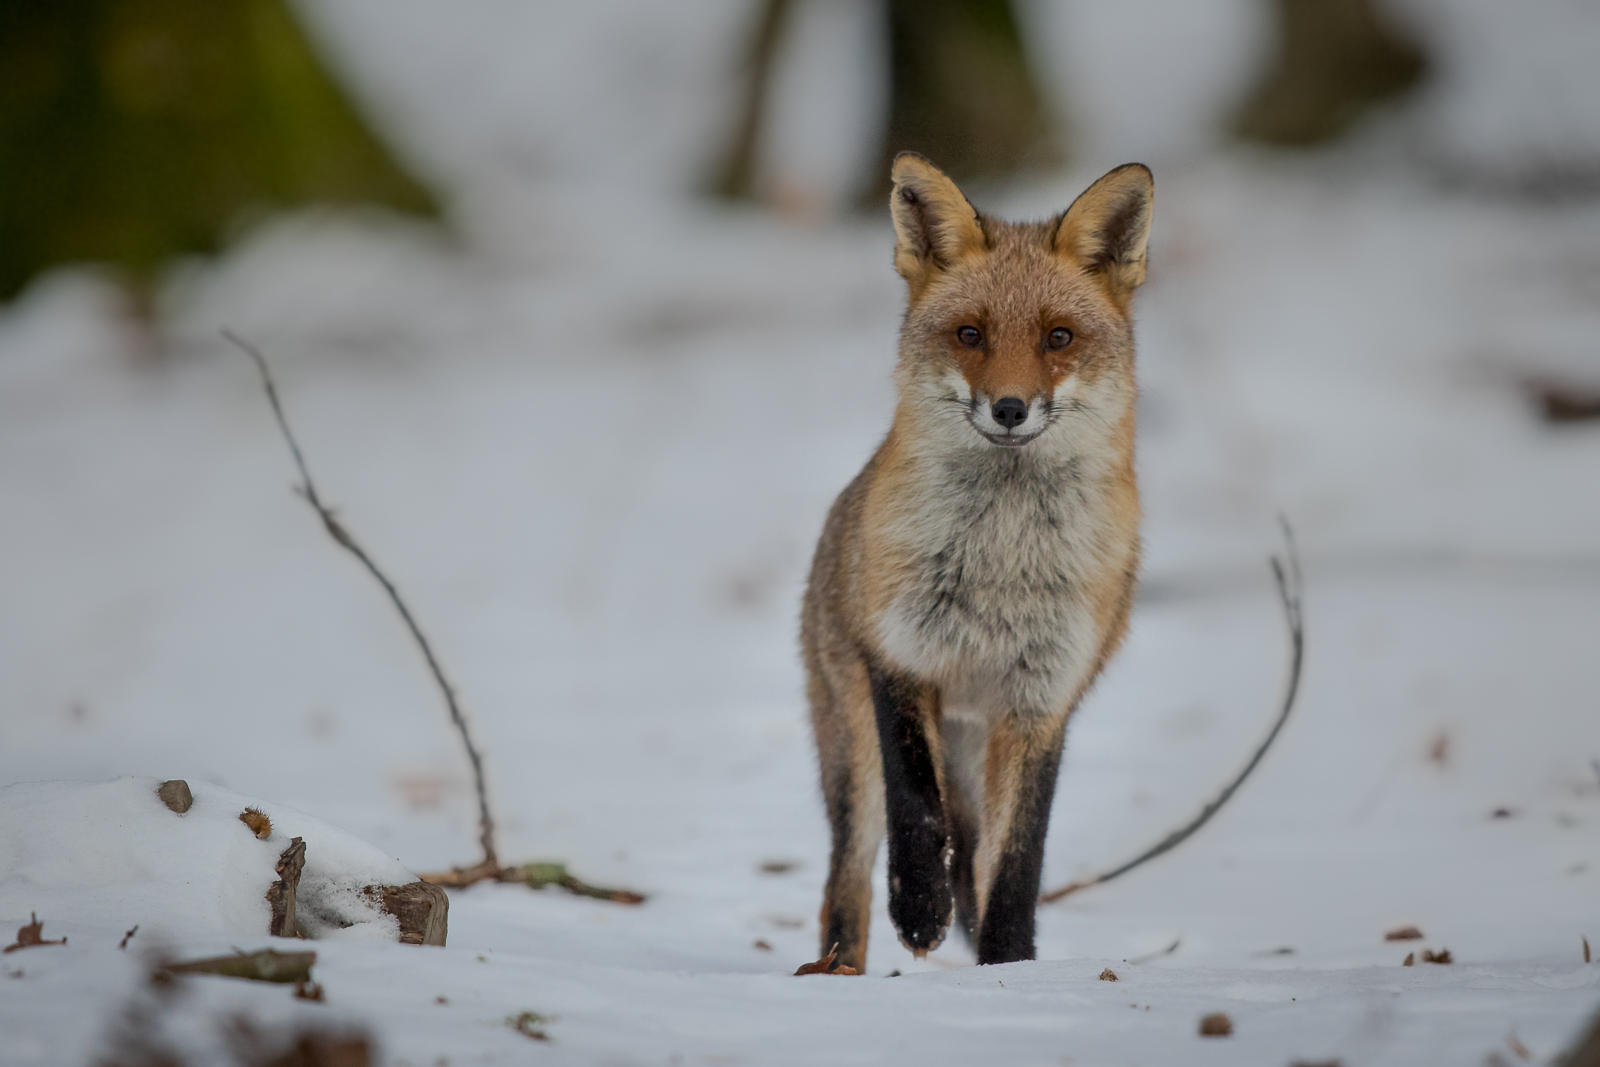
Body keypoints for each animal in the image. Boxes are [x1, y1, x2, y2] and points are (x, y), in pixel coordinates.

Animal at [800, 154, 1152, 972]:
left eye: (1058, 336)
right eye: (970, 334)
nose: (1011, 408)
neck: (1002, 561)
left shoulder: (1042, 700)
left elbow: (1018, 860)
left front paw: (1010, 968)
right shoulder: (897, 655)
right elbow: (918, 808)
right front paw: (919, 905)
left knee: (978, 852)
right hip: (850, 748)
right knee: (844, 883)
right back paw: (837, 972)